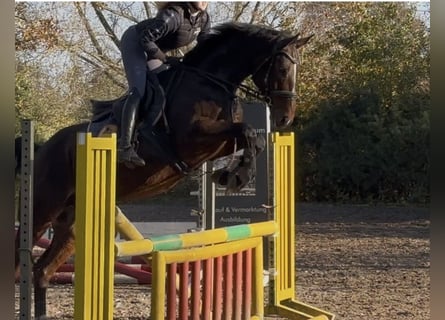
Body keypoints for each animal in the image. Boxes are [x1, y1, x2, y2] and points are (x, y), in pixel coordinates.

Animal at [15, 21, 310, 318]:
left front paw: (231, 175)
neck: (210, 82)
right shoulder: (191, 138)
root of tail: (41, 149)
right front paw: (236, 176)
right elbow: (247, 131)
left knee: (42, 271)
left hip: (72, 226)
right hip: (43, 209)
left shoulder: (218, 142)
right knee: (21, 260)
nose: (285, 119)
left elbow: (253, 139)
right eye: (282, 69)